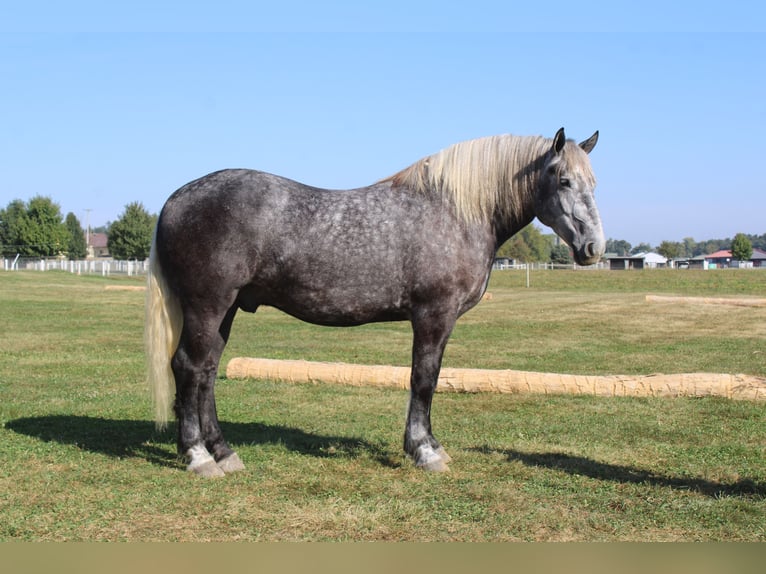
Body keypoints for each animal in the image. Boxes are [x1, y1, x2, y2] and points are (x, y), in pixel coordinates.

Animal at [145, 127, 605, 478]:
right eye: (563, 180)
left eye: (593, 184)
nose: (593, 248)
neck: (455, 212)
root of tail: (176, 198)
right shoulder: (434, 315)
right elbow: (424, 378)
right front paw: (425, 450)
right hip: (208, 306)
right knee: (188, 368)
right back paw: (199, 457)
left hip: (226, 309)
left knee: (206, 371)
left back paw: (223, 452)